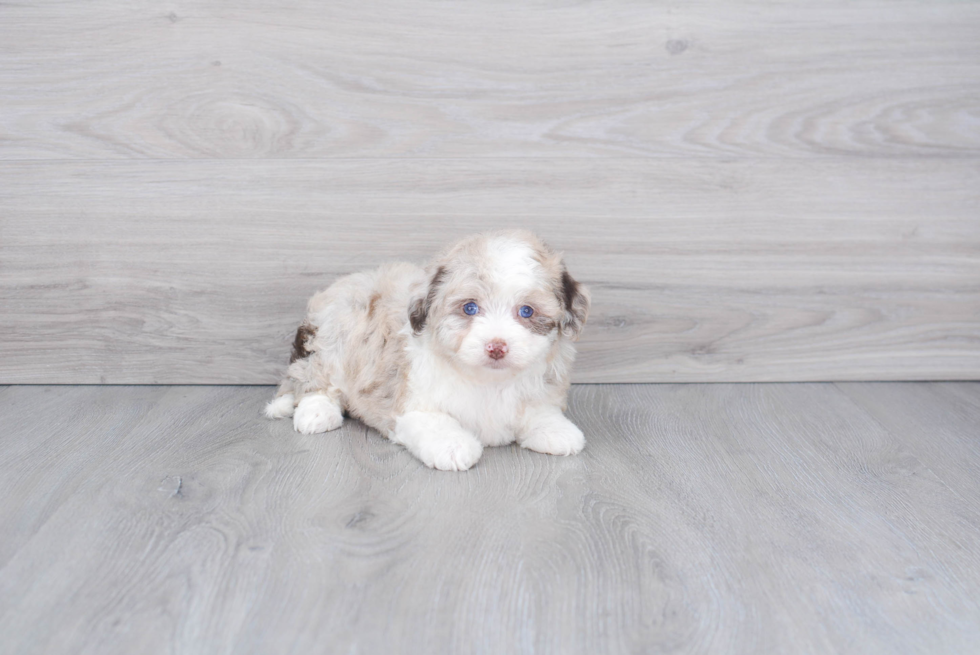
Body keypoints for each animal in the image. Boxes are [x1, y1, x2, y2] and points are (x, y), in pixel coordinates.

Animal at [260, 231, 592, 472]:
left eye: (526, 311)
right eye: (470, 308)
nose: (497, 346)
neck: (488, 380)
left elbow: (538, 410)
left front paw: (556, 430)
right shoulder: (413, 403)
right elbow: (435, 423)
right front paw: (453, 445)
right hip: (334, 333)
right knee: (317, 379)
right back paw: (317, 412)